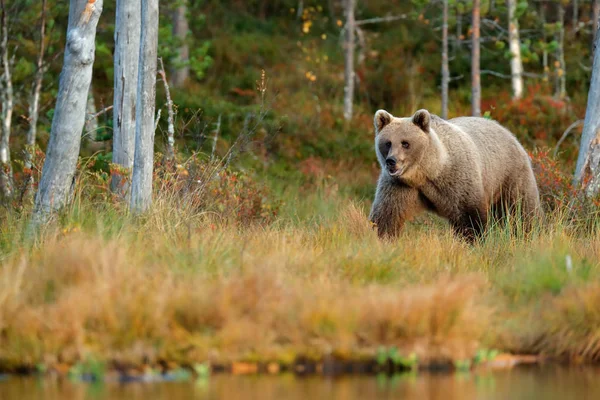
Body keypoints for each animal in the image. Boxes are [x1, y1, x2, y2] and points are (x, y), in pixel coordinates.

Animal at [368, 108, 540, 241]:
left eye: (405, 143)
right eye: (388, 143)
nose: (391, 161)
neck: (428, 172)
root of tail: (509, 133)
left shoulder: (458, 181)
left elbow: (469, 217)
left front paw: (472, 241)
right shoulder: (399, 186)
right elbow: (387, 215)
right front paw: (381, 237)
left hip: (509, 175)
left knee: (520, 210)